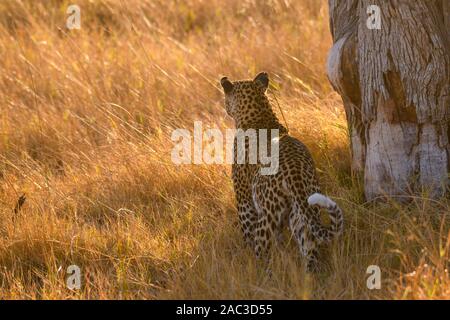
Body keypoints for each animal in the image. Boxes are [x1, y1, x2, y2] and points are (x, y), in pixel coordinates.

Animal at [220, 71, 342, 272]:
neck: (259, 115)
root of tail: (295, 174)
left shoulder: (243, 196)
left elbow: (246, 230)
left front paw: (245, 255)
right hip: (302, 213)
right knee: (310, 248)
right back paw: (308, 277)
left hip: (267, 215)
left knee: (261, 247)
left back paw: (261, 272)